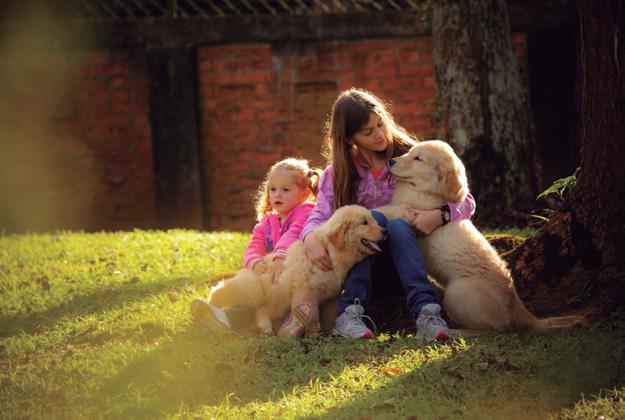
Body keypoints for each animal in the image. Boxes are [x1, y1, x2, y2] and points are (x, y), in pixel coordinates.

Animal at [207, 205, 382, 336]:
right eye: (364, 223)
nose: (385, 231)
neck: (329, 250)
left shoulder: (331, 296)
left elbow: (329, 315)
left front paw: (330, 333)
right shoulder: (306, 292)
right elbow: (313, 316)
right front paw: (313, 335)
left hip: (277, 303)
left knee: (261, 310)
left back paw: (265, 327)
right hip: (253, 290)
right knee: (225, 289)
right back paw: (211, 302)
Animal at [376, 141, 584, 332]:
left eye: (418, 159)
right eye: (410, 152)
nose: (391, 161)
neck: (427, 191)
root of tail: (516, 302)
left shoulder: (408, 212)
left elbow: (383, 211)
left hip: (455, 293)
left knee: (491, 329)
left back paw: (456, 332)